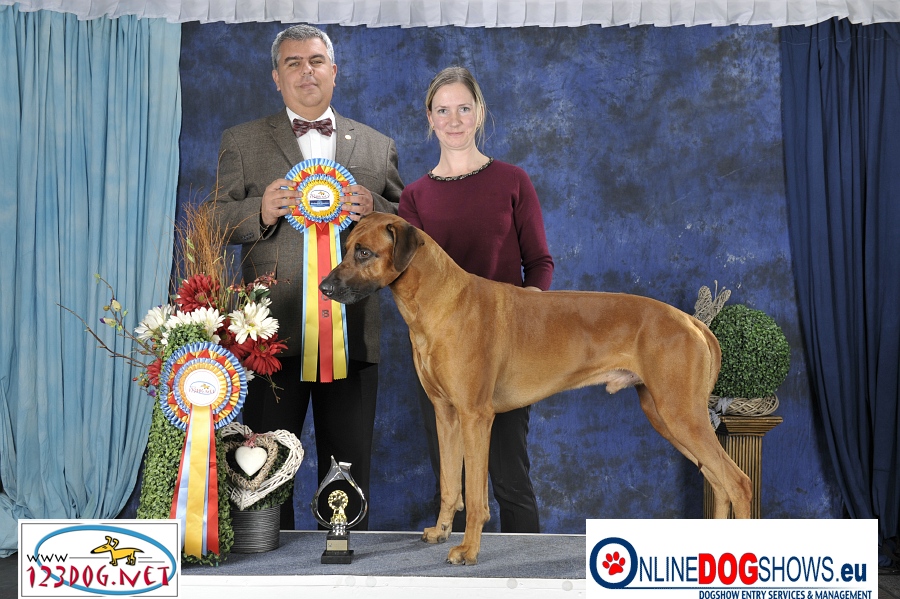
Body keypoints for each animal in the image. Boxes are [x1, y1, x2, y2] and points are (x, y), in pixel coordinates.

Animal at [319, 212, 752, 565]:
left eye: (364, 252)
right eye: (347, 247)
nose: (324, 287)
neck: (442, 302)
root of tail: (692, 322)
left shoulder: (476, 417)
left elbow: (475, 495)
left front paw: (468, 550)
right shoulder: (446, 414)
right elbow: (449, 484)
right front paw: (441, 531)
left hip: (681, 415)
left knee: (738, 482)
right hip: (665, 416)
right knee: (719, 482)